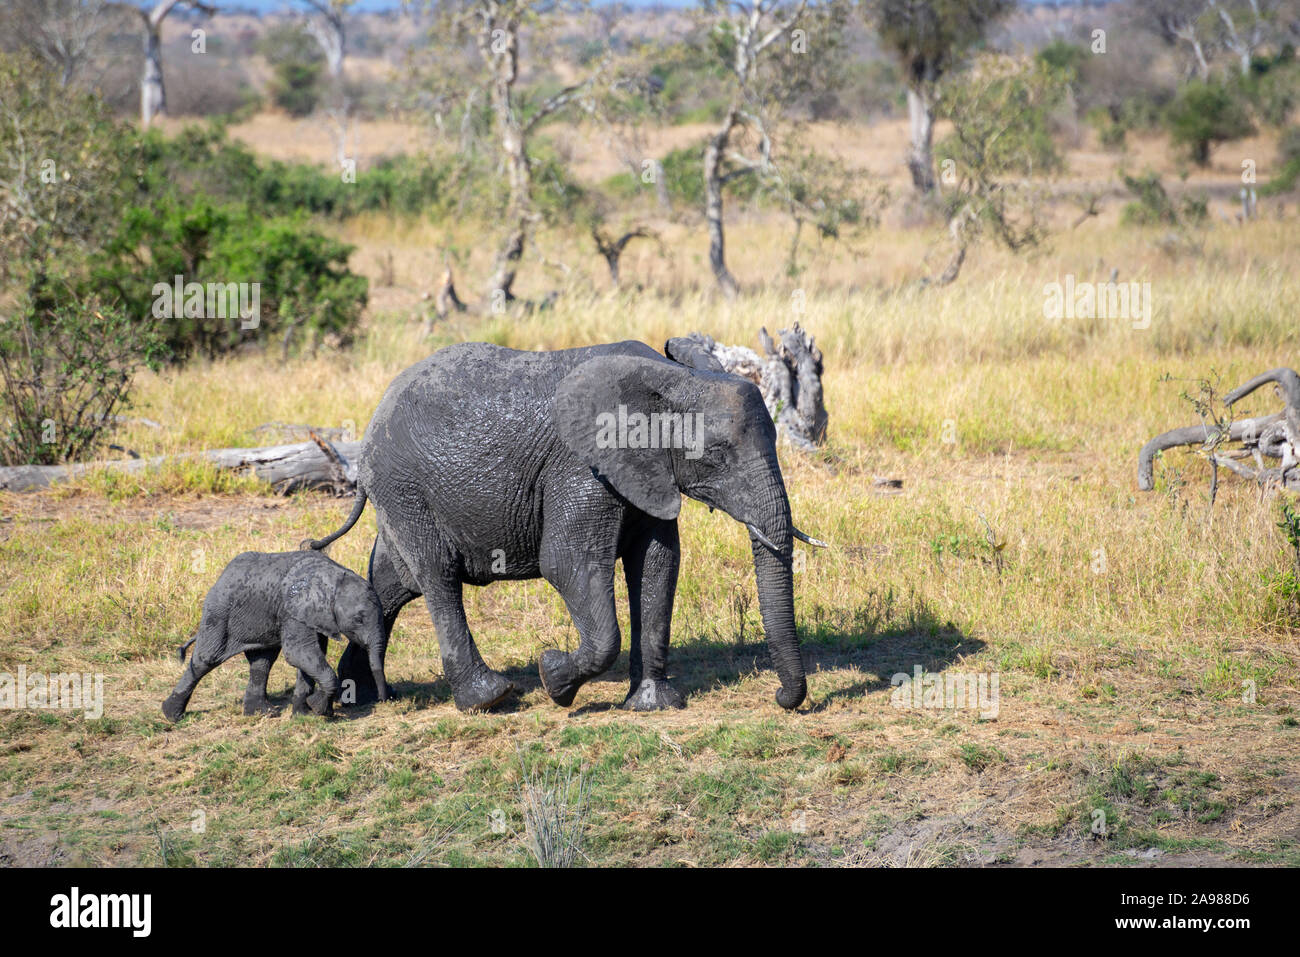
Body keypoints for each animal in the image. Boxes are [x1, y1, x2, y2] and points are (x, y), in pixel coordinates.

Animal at [161, 550, 391, 722]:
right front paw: (320, 711)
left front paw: (303, 715)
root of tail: (220, 577)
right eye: (358, 619)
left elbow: (310, 656)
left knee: (262, 662)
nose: (384, 700)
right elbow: (298, 653)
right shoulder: (292, 610)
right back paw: (171, 716)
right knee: (206, 659)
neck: (334, 577)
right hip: (218, 613)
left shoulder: (313, 616)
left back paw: (261, 713)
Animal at [308, 339, 826, 713]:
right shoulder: (581, 470)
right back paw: (489, 698)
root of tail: (374, 417)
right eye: (717, 454)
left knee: (392, 582)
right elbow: (567, 564)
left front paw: (653, 706)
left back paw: (357, 698)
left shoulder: (647, 474)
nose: (781, 699)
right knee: (437, 577)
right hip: (405, 487)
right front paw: (553, 676)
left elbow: (658, 567)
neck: (673, 377)